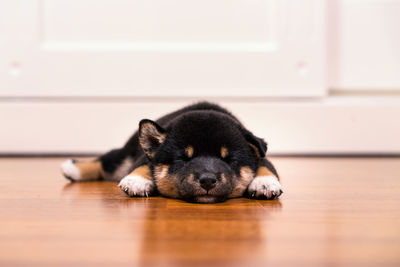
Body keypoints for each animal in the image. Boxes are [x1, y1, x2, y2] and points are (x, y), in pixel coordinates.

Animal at [61, 103, 282, 204]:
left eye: (229, 159)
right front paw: (136, 181)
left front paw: (264, 183)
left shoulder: (260, 154)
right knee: (107, 162)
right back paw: (72, 168)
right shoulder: (147, 155)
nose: (207, 180)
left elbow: (266, 166)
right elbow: (142, 165)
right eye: (183, 158)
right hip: (124, 156)